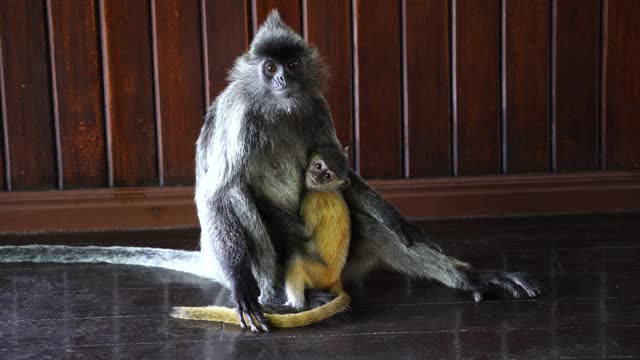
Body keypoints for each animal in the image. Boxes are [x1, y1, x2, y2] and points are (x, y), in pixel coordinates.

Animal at [172, 145, 352, 328]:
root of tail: (335, 276)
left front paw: (259, 201)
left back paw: (294, 306)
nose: (316, 176)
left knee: (296, 259)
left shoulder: (315, 199)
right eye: (318, 166)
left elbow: (305, 232)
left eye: (327, 176)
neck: (327, 190)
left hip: (321, 275)